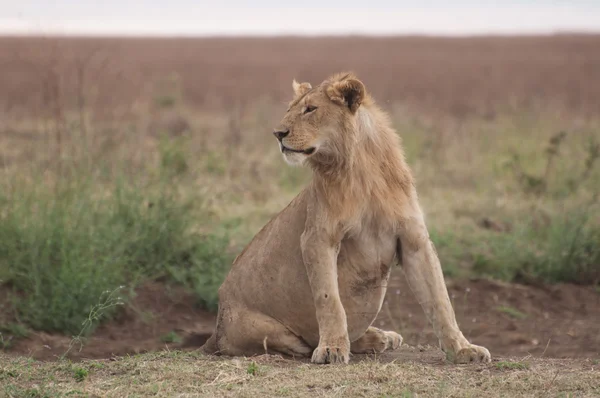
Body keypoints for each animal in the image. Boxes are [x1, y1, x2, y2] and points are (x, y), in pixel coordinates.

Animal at [199, 71, 490, 364]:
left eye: (310, 109)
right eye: (289, 109)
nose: (278, 134)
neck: (363, 170)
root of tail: (215, 332)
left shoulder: (413, 240)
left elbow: (440, 300)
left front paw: (463, 349)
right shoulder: (317, 237)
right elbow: (329, 299)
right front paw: (332, 348)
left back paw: (384, 337)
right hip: (266, 330)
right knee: (295, 342)